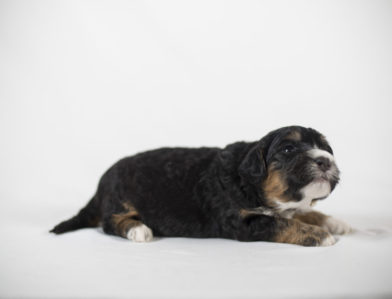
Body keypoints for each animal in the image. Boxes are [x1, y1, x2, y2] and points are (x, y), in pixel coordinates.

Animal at [50, 125, 350, 247]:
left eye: (326, 149)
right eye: (288, 149)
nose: (325, 161)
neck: (250, 182)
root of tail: (100, 184)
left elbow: (301, 213)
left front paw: (334, 223)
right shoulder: (243, 222)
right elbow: (283, 223)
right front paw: (321, 235)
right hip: (120, 198)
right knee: (109, 223)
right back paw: (138, 229)